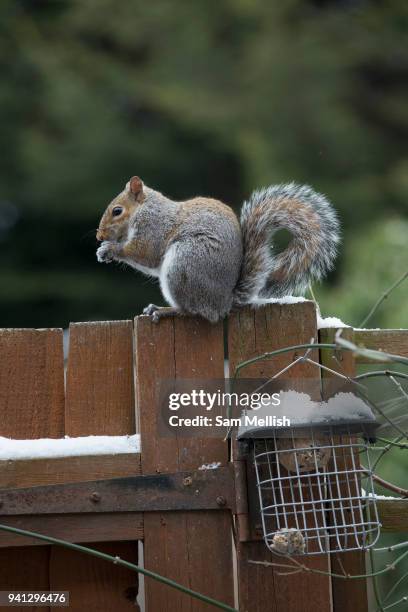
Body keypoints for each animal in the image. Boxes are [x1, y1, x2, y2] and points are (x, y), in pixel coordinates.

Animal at [95, 176, 338, 322]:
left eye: (117, 211)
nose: (99, 236)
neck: (145, 208)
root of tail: (223, 302)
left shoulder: (153, 227)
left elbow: (145, 253)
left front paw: (110, 249)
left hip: (184, 263)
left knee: (191, 311)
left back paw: (163, 310)